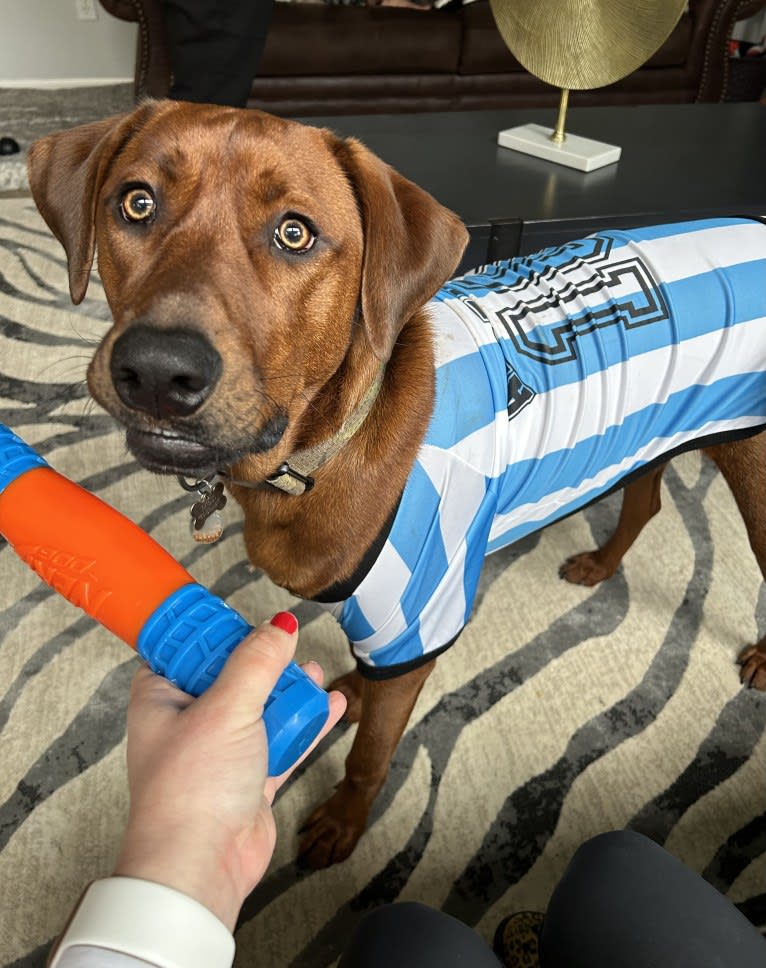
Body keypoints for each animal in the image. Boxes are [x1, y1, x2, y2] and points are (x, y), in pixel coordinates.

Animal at [27, 102, 766, 864]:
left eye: (295, 232)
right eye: (136, 203)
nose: (155, 371)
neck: (316, 454)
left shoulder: (418, 618)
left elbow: (372, 753)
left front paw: (345, 822)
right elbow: (364, 682)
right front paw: (349, 693)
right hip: (655, 432)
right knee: (645, 500)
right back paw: (601, 563)